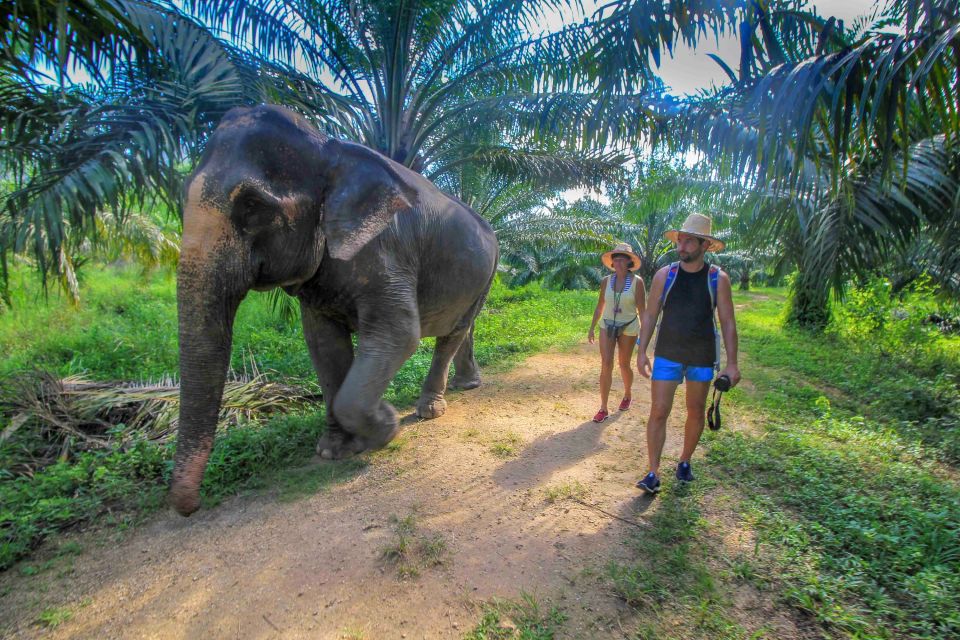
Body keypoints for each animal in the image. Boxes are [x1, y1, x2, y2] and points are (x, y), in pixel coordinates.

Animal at [170, 104, 498, 516]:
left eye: (252, 205)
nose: (191, 507)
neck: (328, 147)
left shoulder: (387, 250)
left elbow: (398, 334)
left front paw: (386, 424)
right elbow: (323, 345)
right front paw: (333, 450)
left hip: (487, 273)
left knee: (453, 332)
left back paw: (429, 410)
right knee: (464, 329)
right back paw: (465, 385)